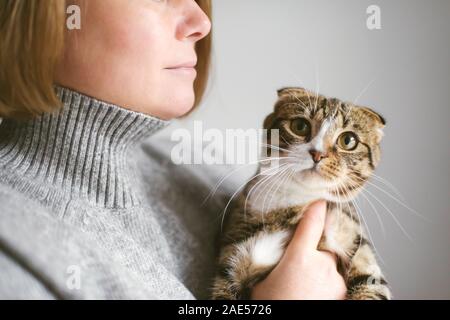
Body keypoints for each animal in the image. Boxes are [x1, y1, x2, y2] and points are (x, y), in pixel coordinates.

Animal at [211, 87, 390, 300]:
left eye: (348, 140)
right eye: (300, 126)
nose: (317, 154)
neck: (295, 201)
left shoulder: (357, 245)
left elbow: (370, 285)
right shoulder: (233, 256)